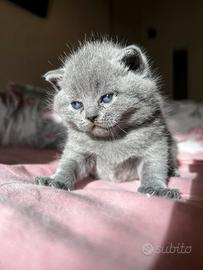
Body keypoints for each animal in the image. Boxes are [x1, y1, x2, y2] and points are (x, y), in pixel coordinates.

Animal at [35, 40, 181, 200]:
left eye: (107, 98)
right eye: (76, 105)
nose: (90, 116)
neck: (111, 138)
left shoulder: (155, 144)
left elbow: (154, 167)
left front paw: (155, 188)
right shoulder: (77, 149)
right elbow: (68, 164)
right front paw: (57, 180)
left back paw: (173, 171)